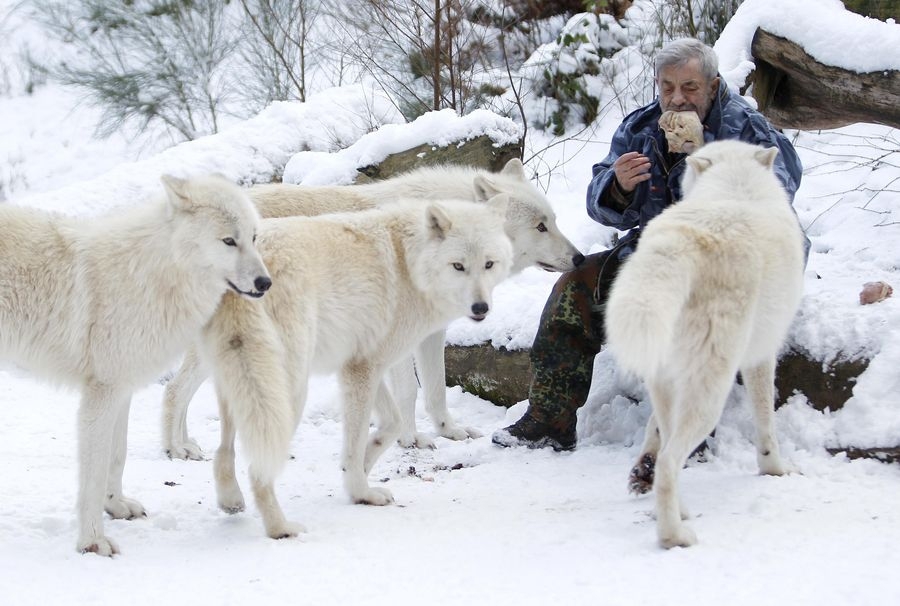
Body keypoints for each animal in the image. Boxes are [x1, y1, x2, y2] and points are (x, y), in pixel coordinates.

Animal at [0, 175, 270, 556]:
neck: (154, 274)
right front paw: (92, 542)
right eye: (228, 241)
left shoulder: (122, 390)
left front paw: (116, 506)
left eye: (254, 237)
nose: (265, 283)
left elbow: (118, 457)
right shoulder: (100, 395)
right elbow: (94, 474)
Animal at [162, 159, 584, 458]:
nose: (580, 258)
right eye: (540, 226)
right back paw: (176, 449)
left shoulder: (431, 333)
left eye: (553, 220)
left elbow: (436, 391)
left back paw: (186, 444)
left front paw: (450, 432)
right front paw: (412, 439)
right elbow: (408, 393)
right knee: (174, 390)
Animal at [200, 197, 512, 540]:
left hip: (239, 383)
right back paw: (280, 528)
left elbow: (392, 424)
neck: (409, 262)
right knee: (258, 469)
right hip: (287, 392)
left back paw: (230, 500)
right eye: (458, 266)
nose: (481, 308)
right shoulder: (363, 369)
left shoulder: (363, 364)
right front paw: (361, 491)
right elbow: (358, 439)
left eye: (489, 264)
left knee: (223, 450)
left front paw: (362, 465)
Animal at [608, 141, 804, 552]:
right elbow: (766, 422)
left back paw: (676, 509)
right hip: (712, 390)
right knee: (671, 461)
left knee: (667, 448)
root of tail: (683, 241)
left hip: (669, 380)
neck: (736, 185)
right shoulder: (761, 357)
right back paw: (674, 535)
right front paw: (774, 469)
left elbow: (652, 428)